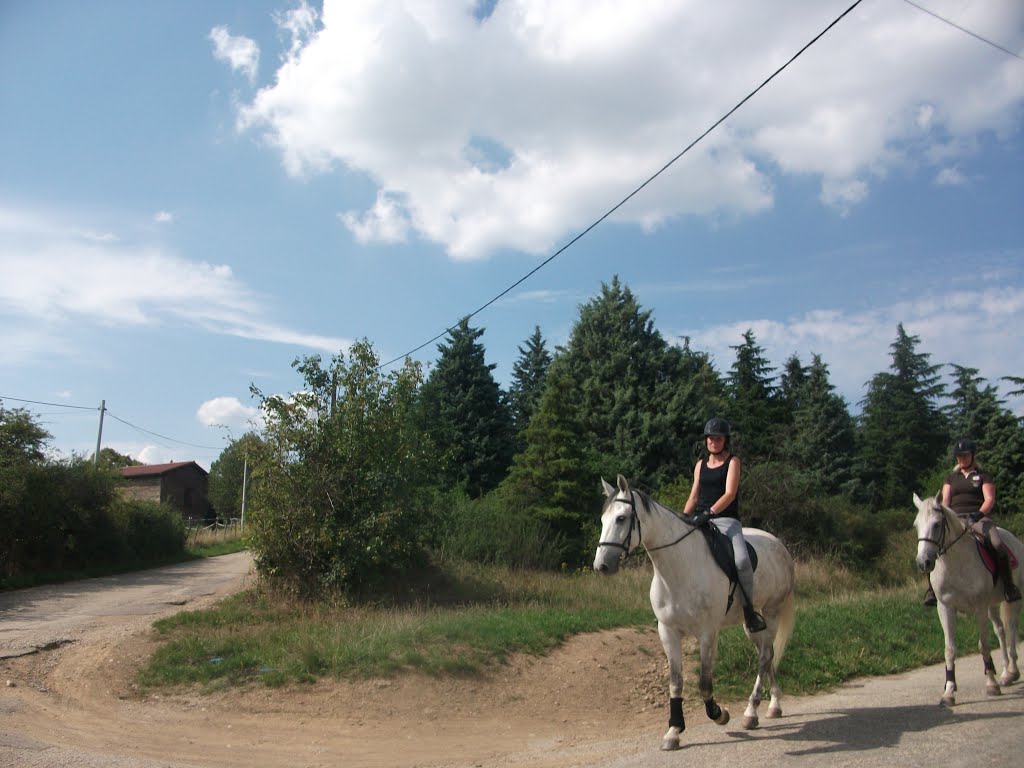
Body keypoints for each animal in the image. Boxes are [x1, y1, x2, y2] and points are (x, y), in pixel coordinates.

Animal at [593, 475, 798, 753]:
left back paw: (751, 711)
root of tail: (779, 545)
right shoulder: (667, 631)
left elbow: (704, 682)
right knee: (766, 655)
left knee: (765, 657)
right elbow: (675, 682)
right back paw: (773, 705)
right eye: (603, 519)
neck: (679, 568)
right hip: (753, 623)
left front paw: (719, 714)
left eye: (621, 518)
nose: (601, 565)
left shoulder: (707, 633)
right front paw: (673, 731)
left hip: (773, 611)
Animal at [917, 495, 1019, 708]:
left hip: (1011, 601)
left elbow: (983, 645)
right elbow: (950, 649)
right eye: (916, 525)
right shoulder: (945, 607)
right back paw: (1005, 673)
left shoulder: (979, 607)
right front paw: (948, 692)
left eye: (937, 524)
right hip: (992, 605)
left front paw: (991, 684)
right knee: (1001, 631)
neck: (956, 562)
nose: (923, 563)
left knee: (1012, 629)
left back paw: (1012, 671)